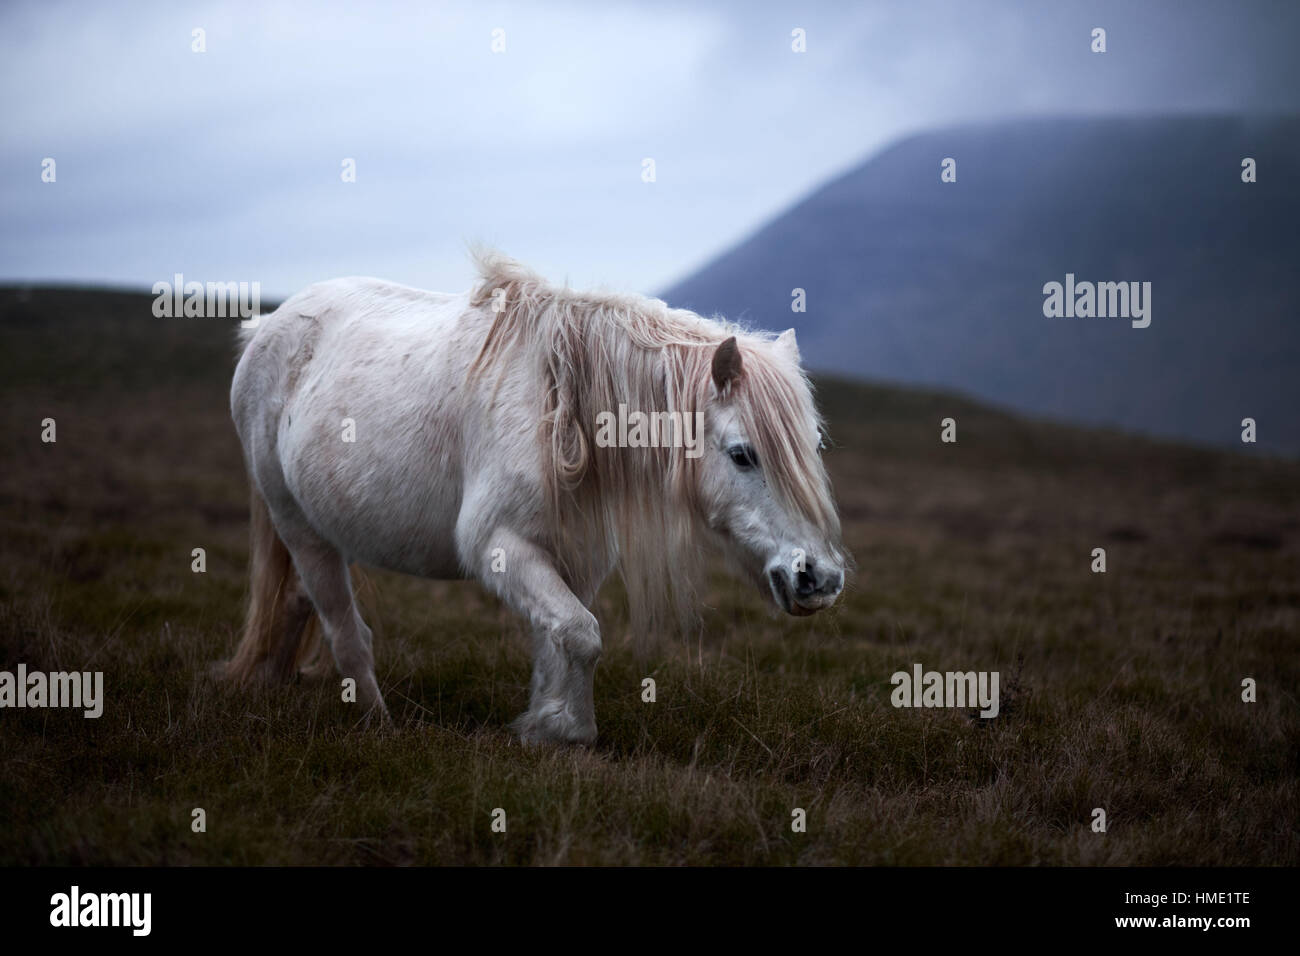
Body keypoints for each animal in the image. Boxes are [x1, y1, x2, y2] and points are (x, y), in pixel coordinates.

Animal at [224, 250, 848, 744]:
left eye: (815, 444)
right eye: (743, 454)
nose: (818, 578)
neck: (567, 417)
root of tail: (267, 328)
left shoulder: (578, 559)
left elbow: (561, 640)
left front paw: (545, 725)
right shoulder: (499, 546)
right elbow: (579, 635)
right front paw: (564, 731)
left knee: (297, 603)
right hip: (297, 525)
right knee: (344, 629)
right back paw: (377, 725)